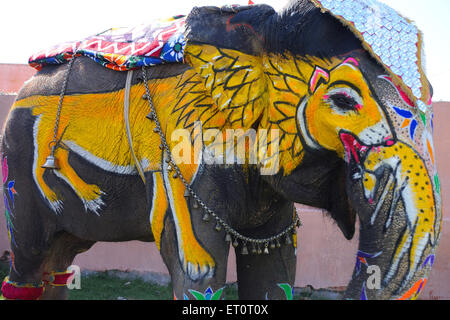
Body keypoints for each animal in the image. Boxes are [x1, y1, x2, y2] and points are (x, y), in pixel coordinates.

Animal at [0, 0, 442, 300]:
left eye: (433, 93)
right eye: (344, 100)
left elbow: (275, 263)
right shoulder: (187, 137)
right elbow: (198, 271)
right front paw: (198, 263)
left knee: (59, 262)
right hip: (16, 167)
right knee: (29, 260)